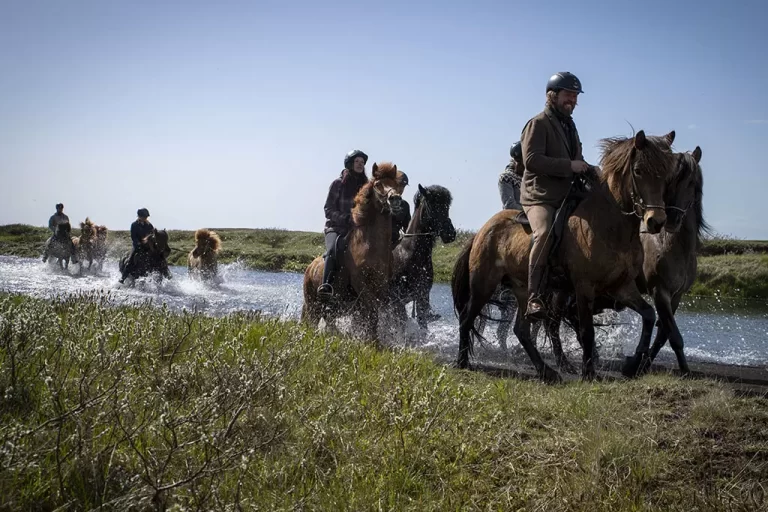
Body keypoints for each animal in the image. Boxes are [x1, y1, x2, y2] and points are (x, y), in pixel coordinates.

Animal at [302, 162, 404, 342]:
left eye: (396, 184)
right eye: (378, 184)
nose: (395, 200)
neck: (370, 245)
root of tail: (309, 267)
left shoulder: (381, 283)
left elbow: (376, 312)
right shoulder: (360, 282)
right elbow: (372, 310)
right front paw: (372, 341)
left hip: (330, 306)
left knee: (329, 319)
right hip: (312, 303)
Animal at [452, 130, 676, 382]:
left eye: (667, 174)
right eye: (638, 170)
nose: (656, 221)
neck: (612, 227)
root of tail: (481, 230)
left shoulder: (622, 287)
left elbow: (648, 315)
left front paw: (633, 364)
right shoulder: (584, 287)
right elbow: (587, 331)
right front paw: (589, 373)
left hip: (523, 289)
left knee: (521, 330)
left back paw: (546, 371)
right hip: (484, 283)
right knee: (467, 318)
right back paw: (462, 362)